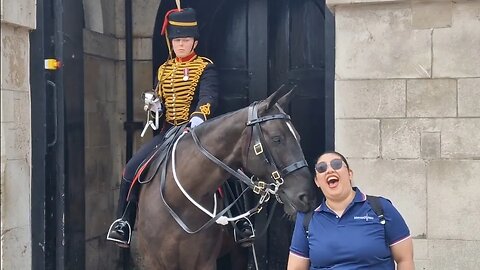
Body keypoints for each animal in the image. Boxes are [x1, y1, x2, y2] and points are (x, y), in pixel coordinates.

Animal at [135, 88, 316, 268]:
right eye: (276, 138)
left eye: (297, 137)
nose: (307, 196)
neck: (180, 201)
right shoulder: (153, 262)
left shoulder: (204, 262)